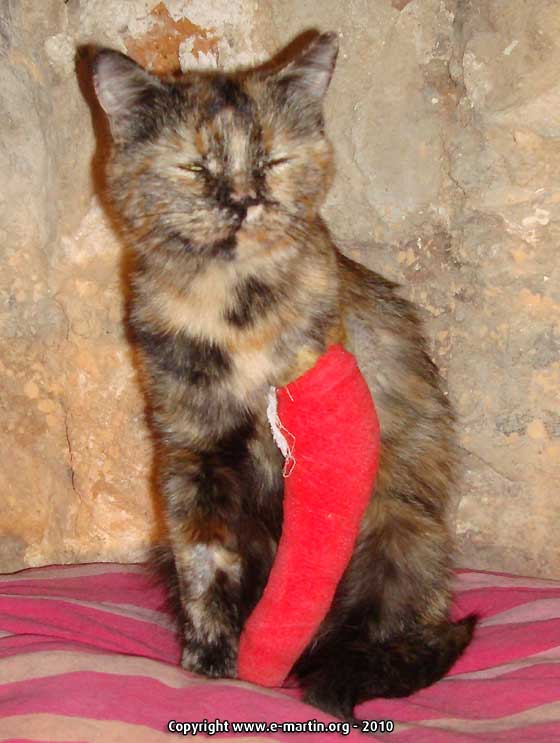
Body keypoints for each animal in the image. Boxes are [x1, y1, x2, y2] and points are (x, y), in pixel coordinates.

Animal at [92, 32, 475, 721]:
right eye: (196, 168)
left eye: (271, 161)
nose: (243, 202)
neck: (228, 308)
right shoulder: (192, 457)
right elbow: (204, 564)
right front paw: (213, 661)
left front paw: (266, 660)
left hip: (401, 529)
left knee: (382, 627)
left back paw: (342, 669)